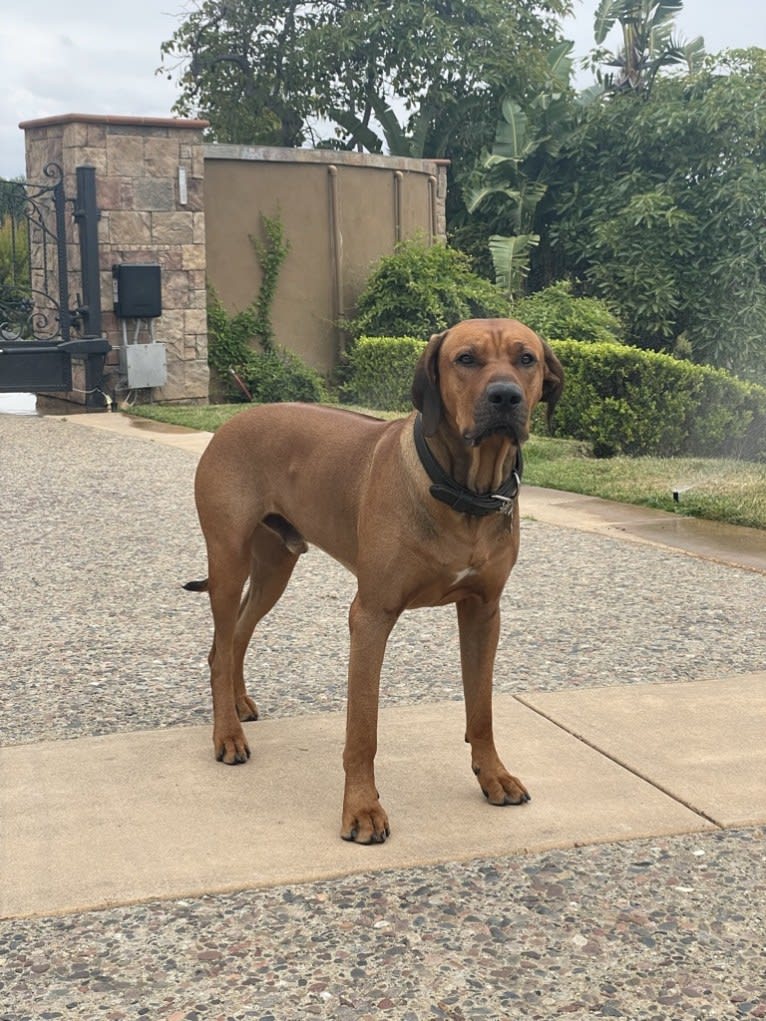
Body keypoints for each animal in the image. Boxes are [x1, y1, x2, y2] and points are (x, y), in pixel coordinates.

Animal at [185, 320, 563, 845]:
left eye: (527, 359)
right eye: (465, 359)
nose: (505, 397)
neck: (464, 494)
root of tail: (231, 420)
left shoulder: (484, 611)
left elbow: (481, 710)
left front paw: (494, 776)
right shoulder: (371, 616)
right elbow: (362, 730)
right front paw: (362, 810)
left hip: (276, 564)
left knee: (236, 634)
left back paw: (237, 705)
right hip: (227, 559)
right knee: (220, 647)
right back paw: (226, 735)